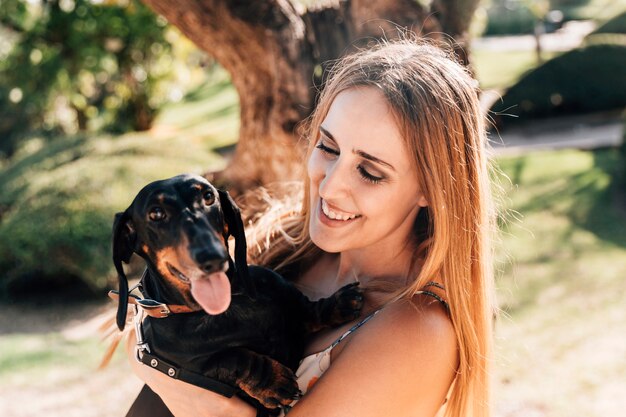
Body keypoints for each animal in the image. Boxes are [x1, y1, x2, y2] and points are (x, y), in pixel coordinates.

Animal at [112, 173, 360, 412]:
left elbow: (305, 309)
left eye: (208, 197)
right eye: (156, 213)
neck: (227, 306)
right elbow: (233, 358)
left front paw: (337, 304)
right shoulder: (185, 371)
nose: (212, 257)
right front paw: (273, 382)